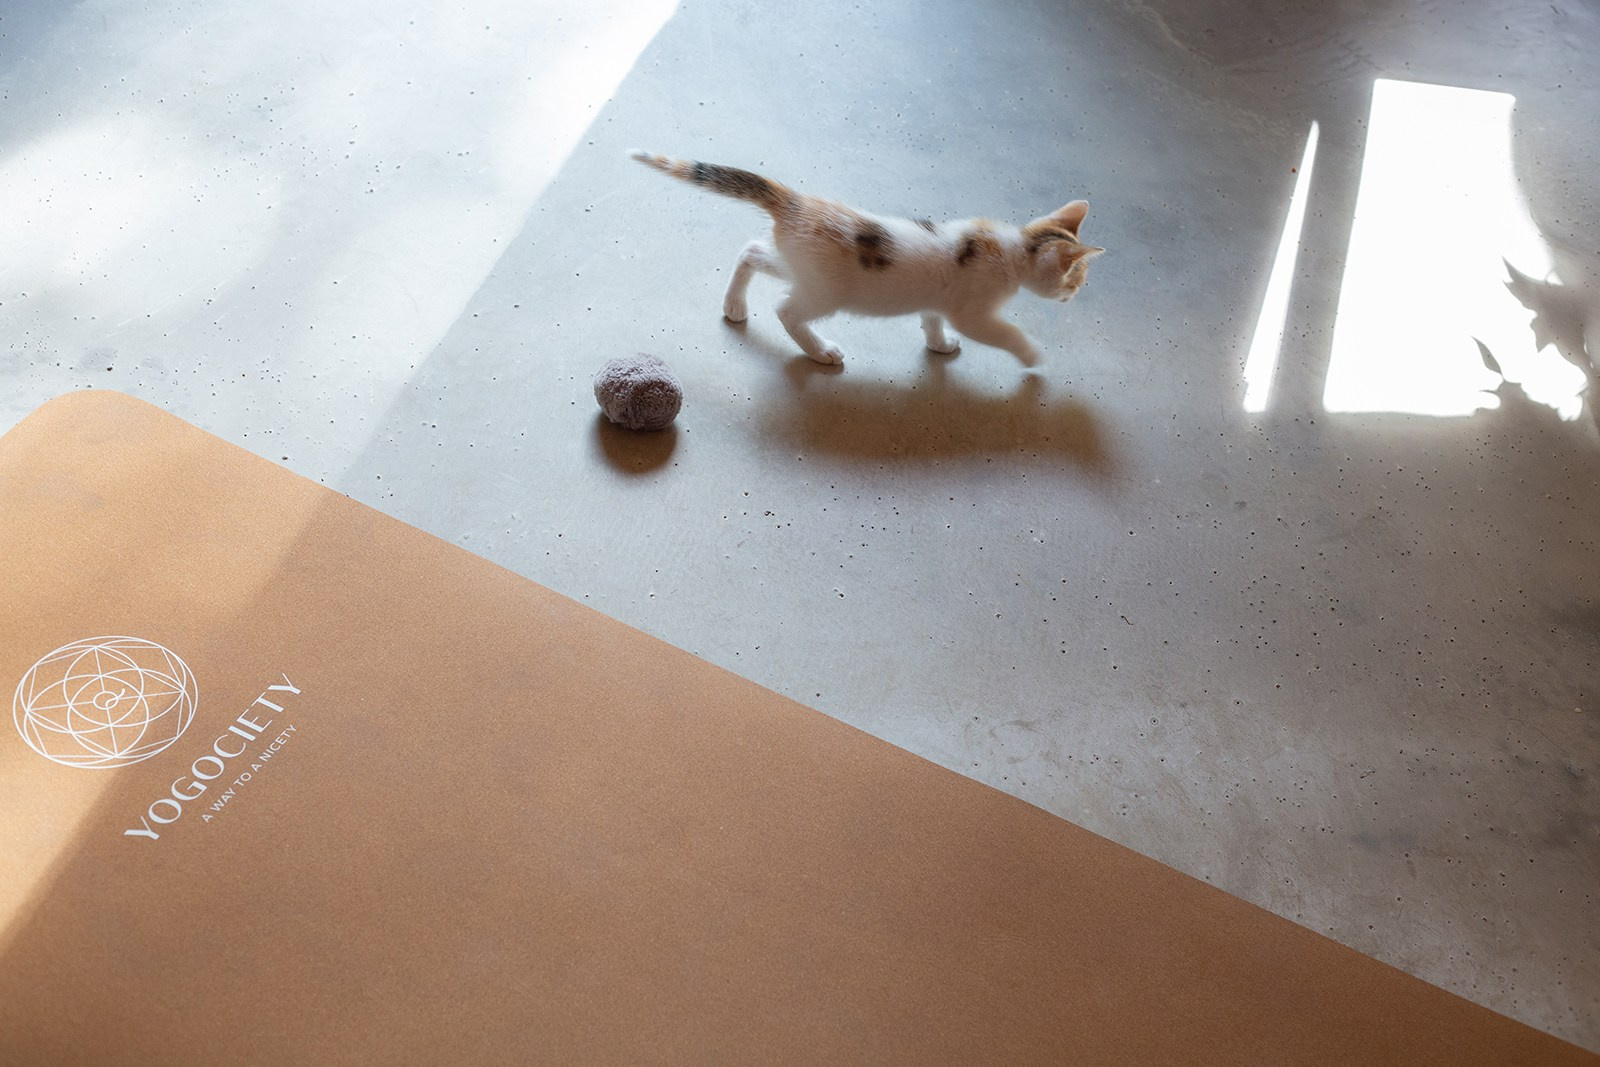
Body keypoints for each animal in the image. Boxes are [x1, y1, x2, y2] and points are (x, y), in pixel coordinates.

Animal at [631, 150, 1103, 368]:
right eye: (1076, 278)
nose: (1077, 295)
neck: (1011, 249)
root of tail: (796, 203)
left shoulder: (938, 303)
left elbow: (932, 320)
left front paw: (939, 345)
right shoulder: (974, 313)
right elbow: (1003, 333)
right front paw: (1032, 356)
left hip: (795, 264)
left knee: (749, 251)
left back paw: (734, 306)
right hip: (825, 292)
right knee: (786, 311)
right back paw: (821, 351)